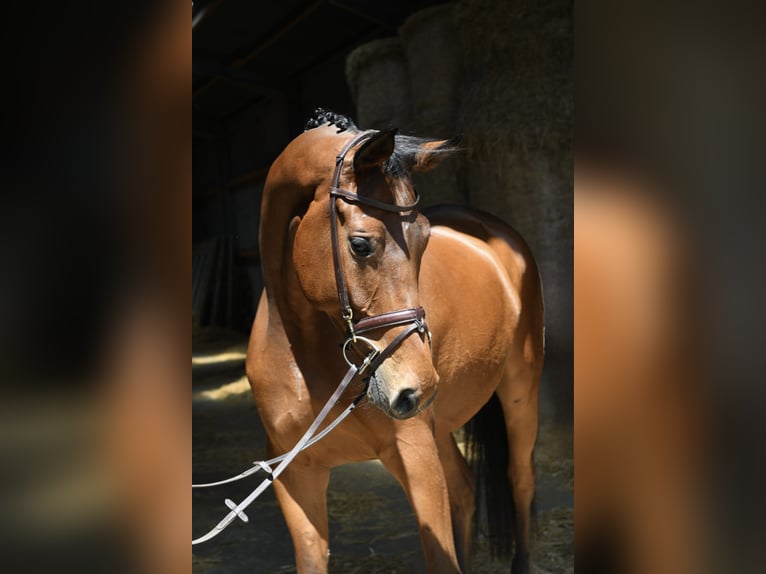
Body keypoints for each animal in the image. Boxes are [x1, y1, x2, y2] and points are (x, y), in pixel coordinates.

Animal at [246, 108, 544, 574]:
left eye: (425, 238)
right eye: (360, 244)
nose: (414, 388)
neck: (302, 351)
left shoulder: (415, 456)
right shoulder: (296, 474)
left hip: (520, 392)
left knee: (520, 479)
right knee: (465, 487)